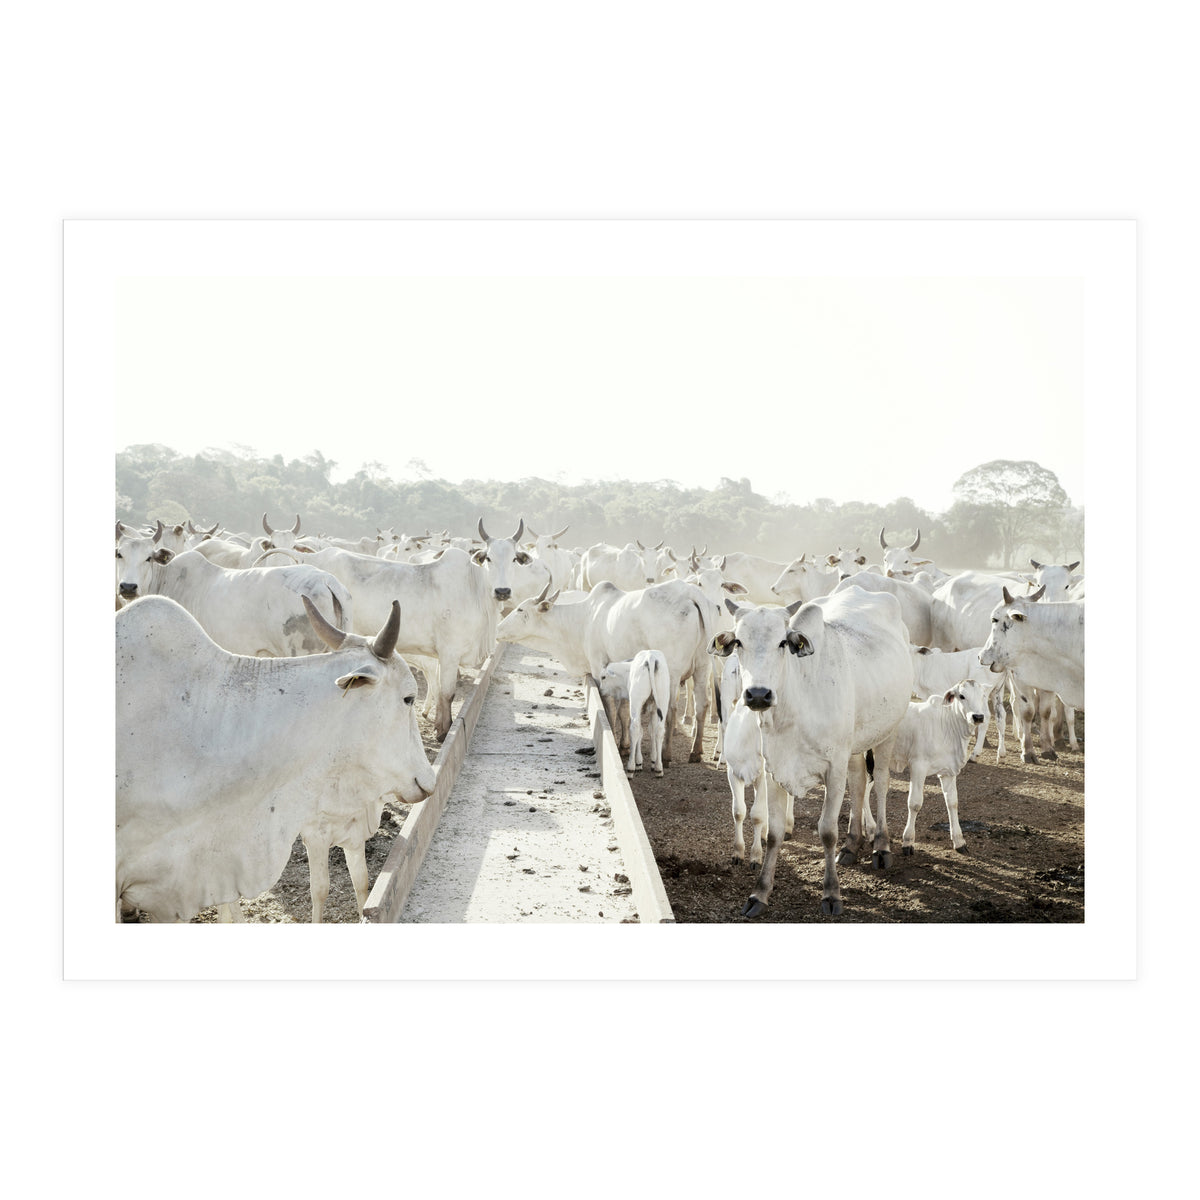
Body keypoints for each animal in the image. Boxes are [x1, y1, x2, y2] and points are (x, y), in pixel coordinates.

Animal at [497, 578, 716, 765]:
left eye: (520, 609)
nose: (498, 628)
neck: (584, 619)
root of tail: (690, 592)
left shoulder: (598, 667)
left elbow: (609, 707)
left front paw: (614, 740)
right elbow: (624, 711)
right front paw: (625, 745)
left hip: (671, 672)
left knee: (671, 709)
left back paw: (666, 753)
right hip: (703, 667)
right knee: (702, 704)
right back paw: (696, 752)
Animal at [711, 585, 913, 917]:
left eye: (783, 641)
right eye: (739, 641)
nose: (758, 695)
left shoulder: (833, 768)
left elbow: (827, 831)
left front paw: (831, 894)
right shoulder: (774, 769)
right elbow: (773, 833)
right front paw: (759, 893)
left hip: (888, 730)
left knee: (881, 782)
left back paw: (881, 847)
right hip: (854, 746)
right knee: (859, 783)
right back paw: (852, 844)